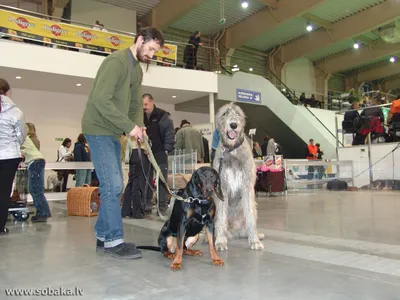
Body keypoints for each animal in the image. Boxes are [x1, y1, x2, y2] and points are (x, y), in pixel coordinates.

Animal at [212, 103, 266, 251]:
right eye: (225, 113)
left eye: (238, 114)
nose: (233, 125)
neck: (232, 150)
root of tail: (234, 231)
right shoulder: (222, 188)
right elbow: (221, 216)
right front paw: (220, 240)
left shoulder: (247, 186)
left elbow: (250, 216)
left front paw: (254, 240)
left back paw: (254, 234)